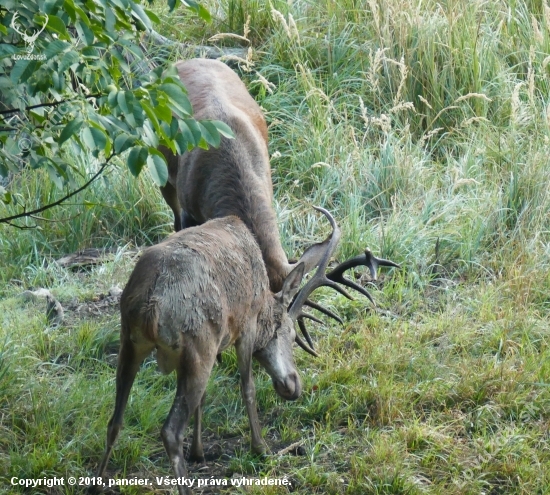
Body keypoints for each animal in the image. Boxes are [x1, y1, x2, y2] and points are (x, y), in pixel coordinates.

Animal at [96, 206, 344, 492]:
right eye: (290, 334)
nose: (293, 386)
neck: (263, 302)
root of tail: (151, 305)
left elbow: (204, 399)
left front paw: (198, 451)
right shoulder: (245, 326)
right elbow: (247, 387)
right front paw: (260, 447)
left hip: (130, 341)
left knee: (115, 420)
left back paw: (96, 484)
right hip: (197, 344)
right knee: (170, 430)